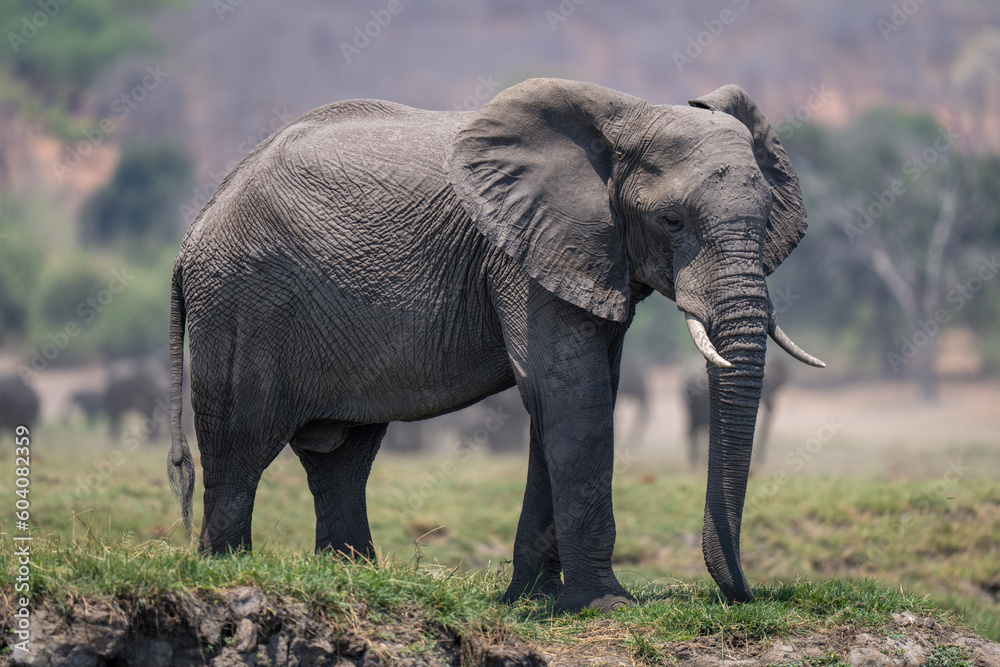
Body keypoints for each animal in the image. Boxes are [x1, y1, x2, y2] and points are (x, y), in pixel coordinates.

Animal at [168, 78, 824, 611]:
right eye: (672, 222)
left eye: (765, 219)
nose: (745, 595)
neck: (624, 117)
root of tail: (195, 228)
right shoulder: (521, 254)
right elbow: (572, 397)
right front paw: (606, 605)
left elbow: (567, 402)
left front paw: (534, 600)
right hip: (241, 305)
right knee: (239, 449)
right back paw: (230, 572)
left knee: (341, 456)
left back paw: (353, 578)